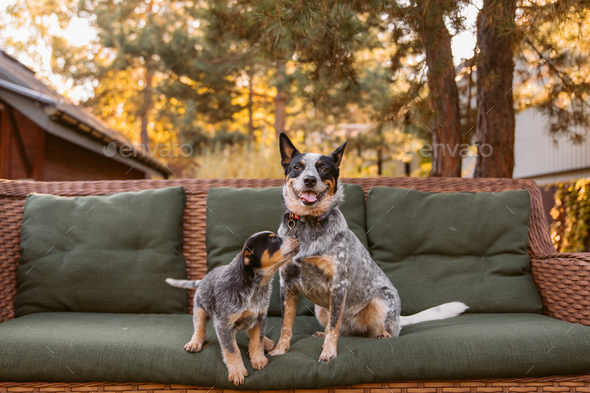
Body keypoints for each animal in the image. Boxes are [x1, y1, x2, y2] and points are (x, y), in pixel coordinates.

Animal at [168, 231, 300, 384]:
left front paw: (258, 358)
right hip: (200, 307)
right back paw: (195, 342)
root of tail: (203, 278)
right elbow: (232, 349)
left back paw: (266, 342)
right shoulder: (223, 324)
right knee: (199, 328)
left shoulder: (260, 317)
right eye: (273, 239)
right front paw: (237, 370)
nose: (296, 236)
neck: (255, 287)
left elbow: (257, 340)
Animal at [270, 133, 472, 362]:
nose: (310, 180)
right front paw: (279, 350)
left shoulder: (338, 285)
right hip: (321, 309)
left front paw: (328, 353)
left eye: (324, 169)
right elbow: (286, 325)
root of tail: (400, 317)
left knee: (383, 330)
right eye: (297, 167)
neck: (308, 223)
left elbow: (333, 326)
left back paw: (383, 334)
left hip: (382, 301)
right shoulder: (287, 284)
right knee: (340, 328)